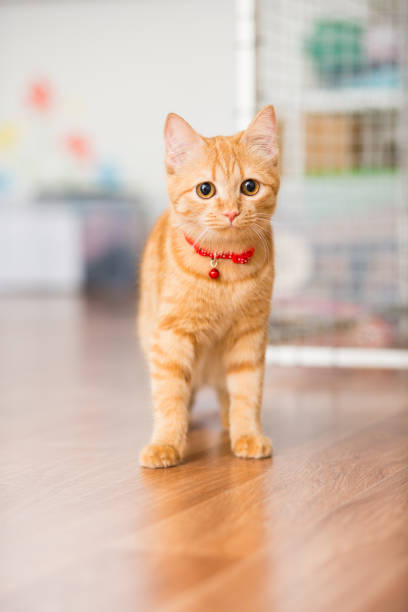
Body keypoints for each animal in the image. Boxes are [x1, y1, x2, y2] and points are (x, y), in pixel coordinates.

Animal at [139, 106, 278, 468]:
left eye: (249, 186)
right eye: (205, 189)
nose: (231, 212)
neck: (224, 266)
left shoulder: (250, 335)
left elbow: (247, 391)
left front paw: (248, 435)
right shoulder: (171, 336)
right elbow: (170, 395)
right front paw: (166, 443)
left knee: (224, 393)